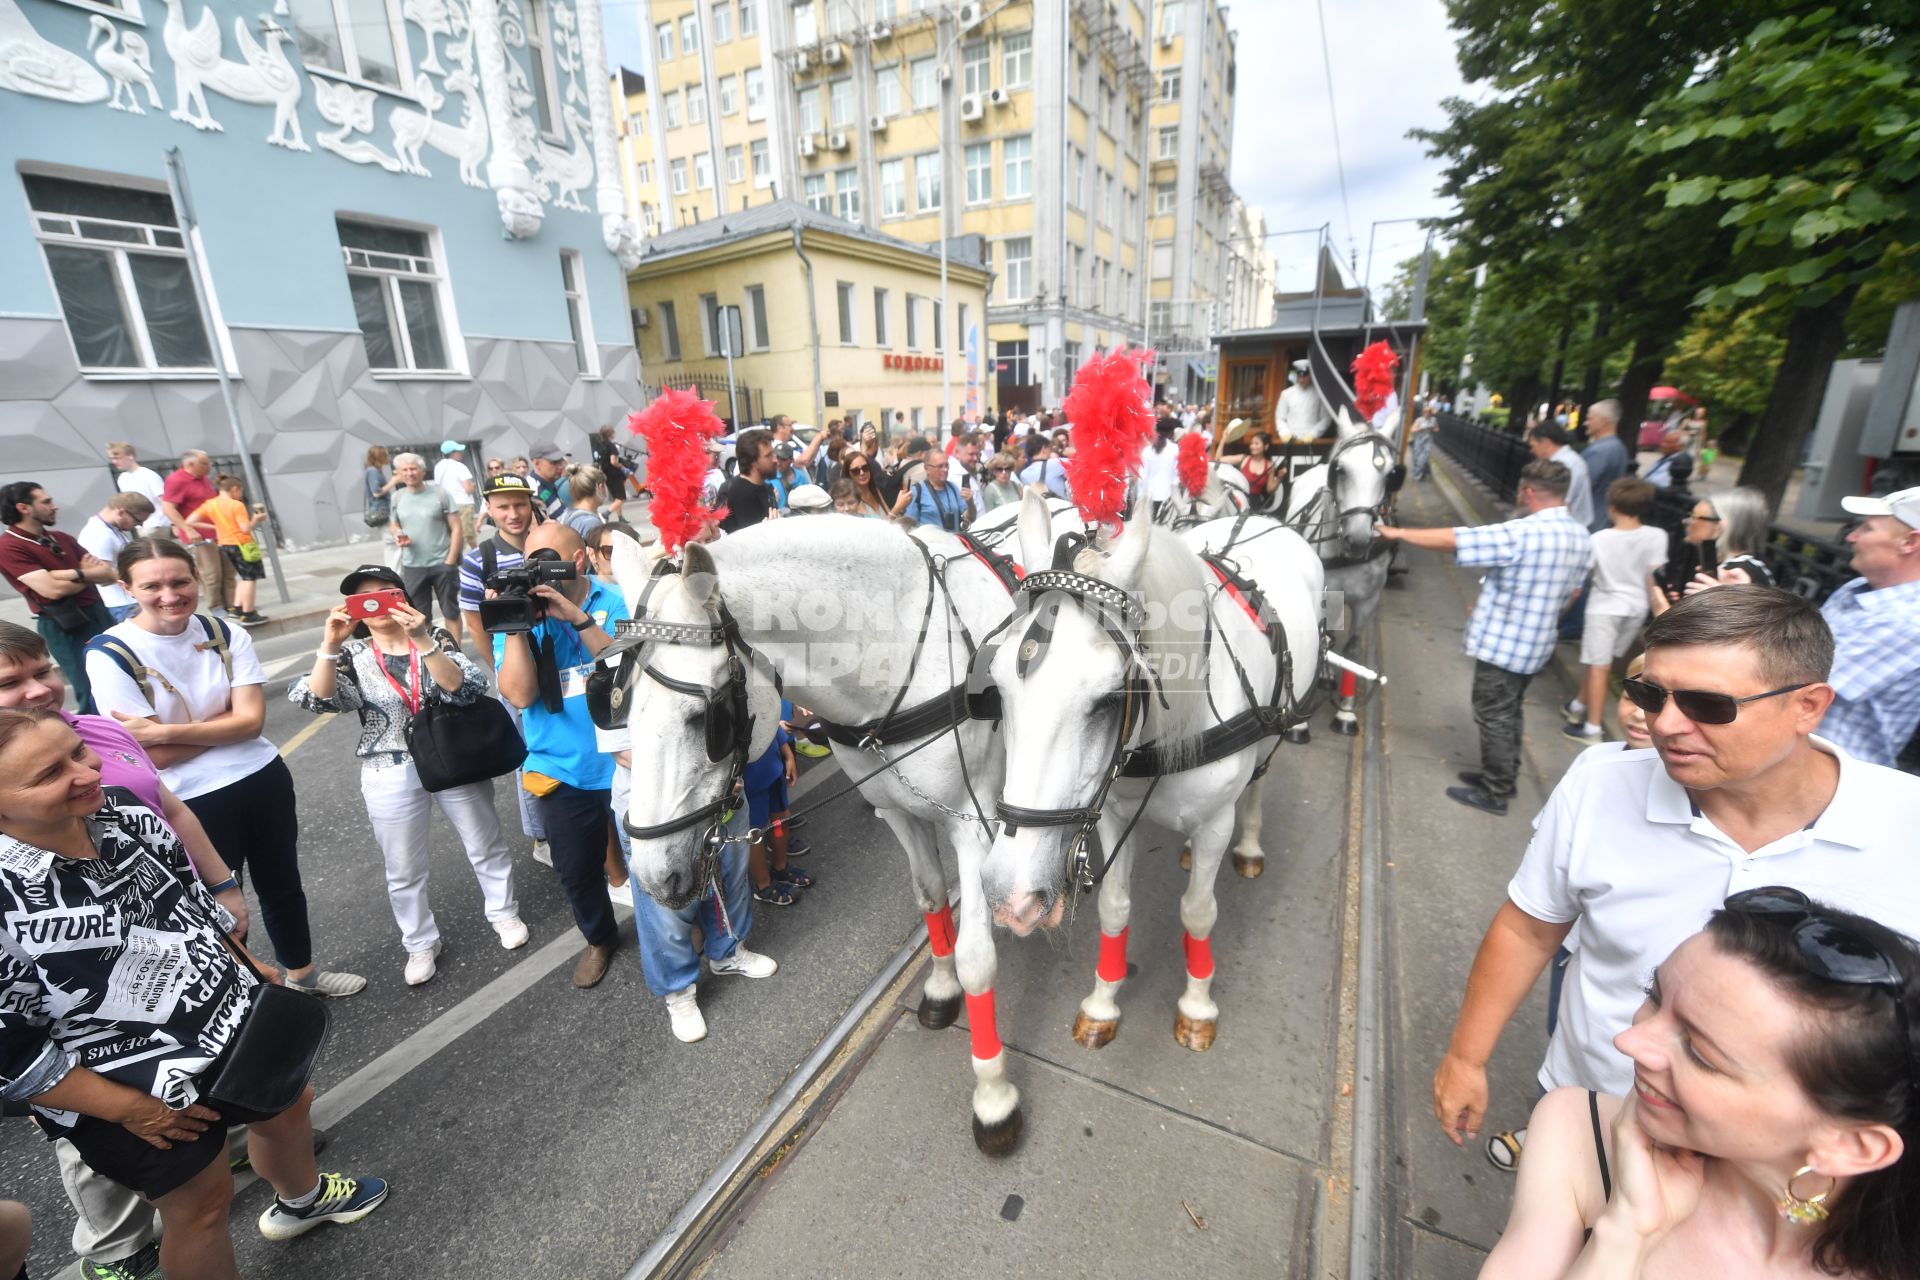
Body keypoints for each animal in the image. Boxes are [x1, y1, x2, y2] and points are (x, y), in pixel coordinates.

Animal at [606, 521, 1036, 1159]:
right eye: (618, 708)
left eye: (703, 719)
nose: (655, 875)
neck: (898, 652)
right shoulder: (899, 814)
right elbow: (931, 900)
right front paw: (939, 990)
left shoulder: (970, 820)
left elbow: (977, 957)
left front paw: (993, 1097)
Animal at [990, 491, 1320, 1051]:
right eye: (996, 685)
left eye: (1109, 699)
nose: (1012, 897)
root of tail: (1257, 517)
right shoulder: (1112, 815)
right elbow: (1115, 905)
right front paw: (1102, 1004)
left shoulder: (1215, 825)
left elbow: (1198, 912)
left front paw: (1197, 1004)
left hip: (1275, 729)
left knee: (1258, 782)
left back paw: (1250, 845)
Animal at [1282, 412, 1405, 740]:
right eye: (1341, 469)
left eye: (1392, 474)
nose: (1358, 538)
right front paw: (1299, 723)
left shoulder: (1367, 603)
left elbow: (1353, 651)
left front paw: (1347, 712)